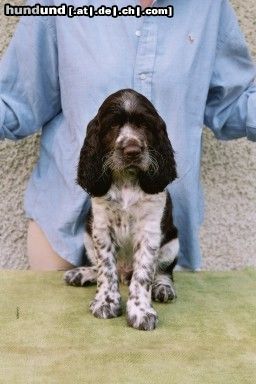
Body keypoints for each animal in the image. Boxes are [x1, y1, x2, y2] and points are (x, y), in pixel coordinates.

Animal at [64, 89, 180, 330]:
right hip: (88, 237)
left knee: (164, 270)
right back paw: (81, 274)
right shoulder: (101, 228)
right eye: (112, 126)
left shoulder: (150, 230)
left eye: (144, 125)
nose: (132, 150)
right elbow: (106, 269)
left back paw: (163, 288)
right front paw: (105, 302)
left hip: (172, 244)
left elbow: (143, 274)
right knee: (104, 268)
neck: (127, 179)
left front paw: (141, 311)